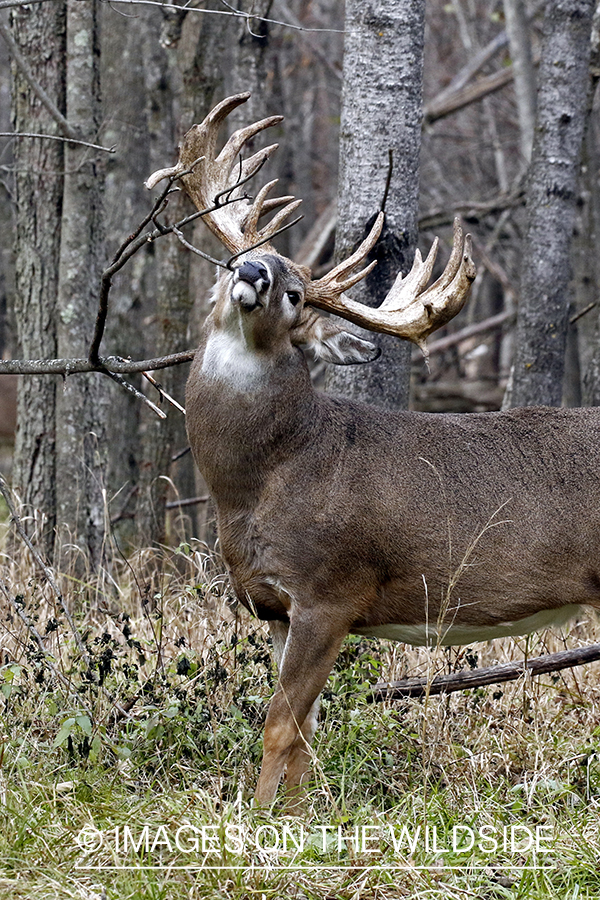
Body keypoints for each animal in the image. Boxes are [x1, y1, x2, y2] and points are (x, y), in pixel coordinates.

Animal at [146, 93, 600, 808]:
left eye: (295, 293)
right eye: (233, 261)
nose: (252, 270)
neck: (258, 483)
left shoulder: (331, 588)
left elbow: (279, 725)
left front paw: (256, 819)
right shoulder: (276, 605)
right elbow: (306, 730)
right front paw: (296, 815)